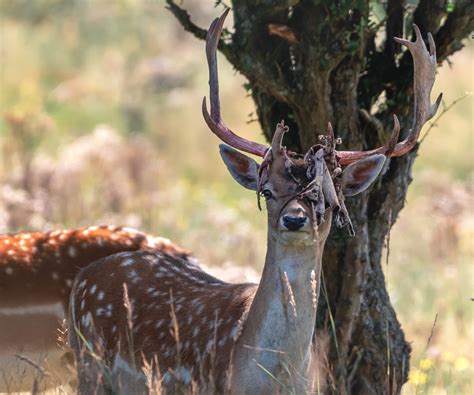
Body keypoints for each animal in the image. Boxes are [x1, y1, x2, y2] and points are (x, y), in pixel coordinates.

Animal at [67, 10, 440, 394]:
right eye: (268, 191)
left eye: (328, 199)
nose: (294, 219)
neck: (275, 375)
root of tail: (83, 278)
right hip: (89, 366)